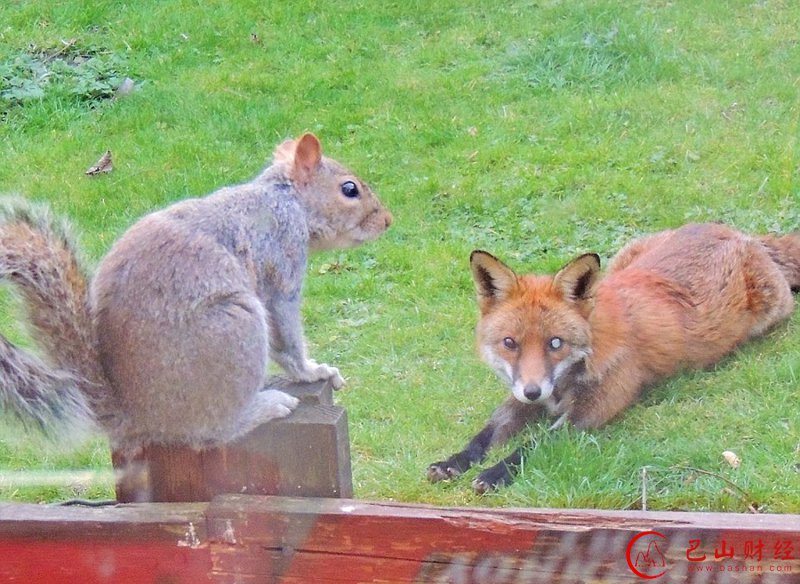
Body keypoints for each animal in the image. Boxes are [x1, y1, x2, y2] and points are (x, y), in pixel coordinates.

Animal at [0, 132, 390, 452]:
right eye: (349, 189)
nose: (387, 221)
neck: (284, 197)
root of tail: (135, 415)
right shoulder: (282, 257)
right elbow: (286, 331)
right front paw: (313, 371)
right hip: (235, 328)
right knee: (213, 431)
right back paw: (265, 407)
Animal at [432, 224, 800, 492]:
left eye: (555, 343)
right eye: (510, 343)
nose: (534, 392)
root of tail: (739, 234)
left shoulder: (586, 416)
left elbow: (533, 445)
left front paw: (496, 473)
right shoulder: (520, 396)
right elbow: (485, 434)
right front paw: (453, 462)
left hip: (772, 313)